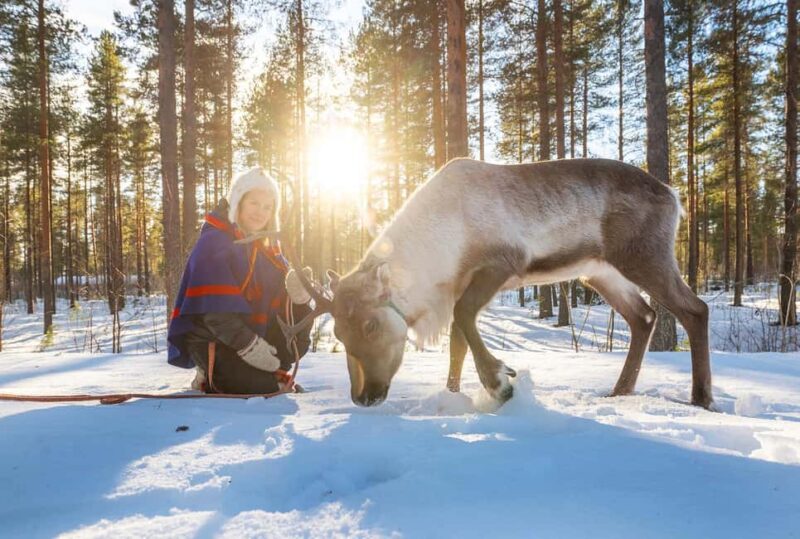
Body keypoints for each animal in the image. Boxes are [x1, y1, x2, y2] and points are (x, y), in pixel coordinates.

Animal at [282, 158, 714, 410]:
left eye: (370, 324)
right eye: (339, 332)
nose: (363, 397)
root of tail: (674, 195)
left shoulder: (502, 263)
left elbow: (463, 319)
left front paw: (500, 382)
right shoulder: (460, 284)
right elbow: (457, 341)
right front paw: (454, 393)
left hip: (643, 255)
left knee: (695, 308)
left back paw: (701, 397)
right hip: (600, 271)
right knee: (643, 316)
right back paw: (620, 392)